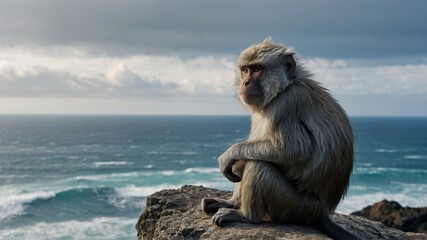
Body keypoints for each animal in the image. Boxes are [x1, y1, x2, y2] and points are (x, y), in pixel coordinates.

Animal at [201, 38, 362, 239]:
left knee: (259, 165)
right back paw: (233, 203)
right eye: (245, 70)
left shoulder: (287, 103)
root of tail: (321, 211)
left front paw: (229, 156)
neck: (285, 86)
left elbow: (293, 150)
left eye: (256, 69)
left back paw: (247, 216)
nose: (245, 82)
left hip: (297, 207)